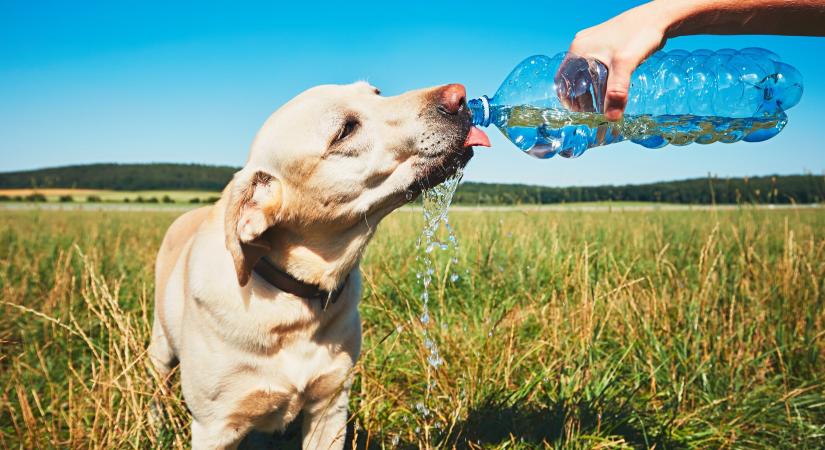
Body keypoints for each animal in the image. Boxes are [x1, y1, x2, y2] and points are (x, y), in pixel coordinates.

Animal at [150, 81, 490, 450]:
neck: (294, 303)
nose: (459, 95)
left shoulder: (330, 405)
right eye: (345, 130)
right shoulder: (214, 427)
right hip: (160, 349)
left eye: (376, 92)